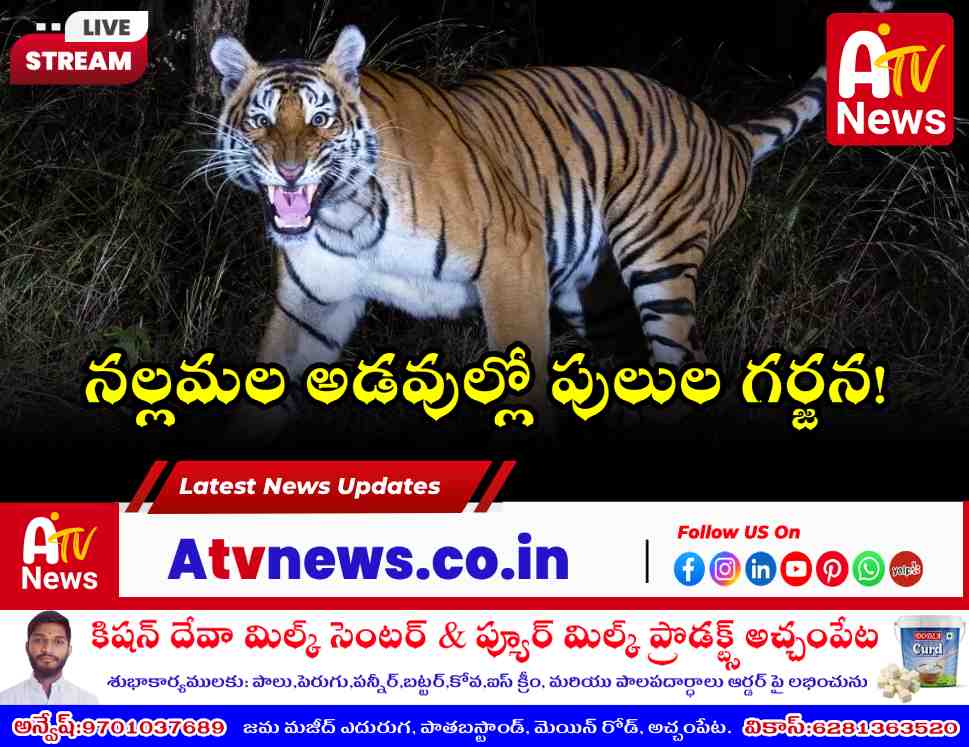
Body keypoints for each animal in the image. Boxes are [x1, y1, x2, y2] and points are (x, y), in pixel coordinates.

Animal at [208, 1, 892, 434]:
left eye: (320, 119)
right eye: (260, 120)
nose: (289, 170)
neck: (346, 218)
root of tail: (726, 131)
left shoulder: (512, 260)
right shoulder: (313, 304)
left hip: (661, 265)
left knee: (684, 366)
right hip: (596, 295)